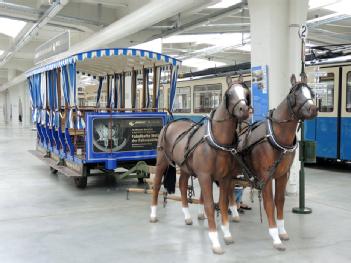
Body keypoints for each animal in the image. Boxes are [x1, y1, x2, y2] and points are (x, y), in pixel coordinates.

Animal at [150, 78, 252, 256]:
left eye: (246, 93)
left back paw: (187, 216)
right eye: (229, 94)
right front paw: (215, 241)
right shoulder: (205, 176)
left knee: (183, 185)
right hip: (162, 161)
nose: (244, 109)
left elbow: (223, 203)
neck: (217, 141)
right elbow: (210, 205)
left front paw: (227, 234)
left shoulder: (225, 178)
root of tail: (171, 123)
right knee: (156, 185)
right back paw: (153, 214)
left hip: (184, 167)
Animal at [234, 74, 320, 252]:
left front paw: (282, 231)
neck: (275, 136)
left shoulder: (283, 175)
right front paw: (275, 237)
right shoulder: (264, 177)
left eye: (311, 92)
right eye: (295, 94)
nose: (313, 109)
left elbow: (279, 201)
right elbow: (269, 203)